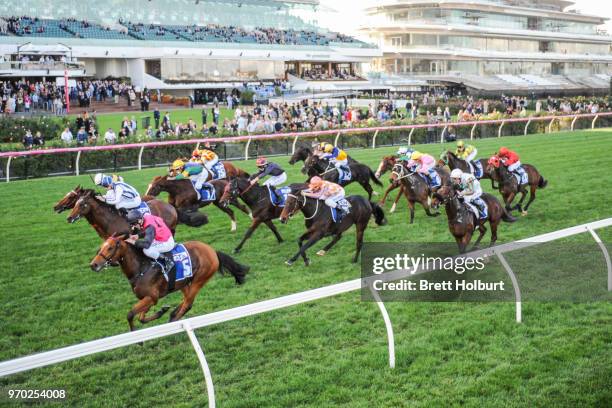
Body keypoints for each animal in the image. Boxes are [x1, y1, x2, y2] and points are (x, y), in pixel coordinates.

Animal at [89, 234, 247, 330]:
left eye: (110, 247)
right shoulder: (149, 298)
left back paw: (174, 319)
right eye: (101, 247)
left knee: (188, 303)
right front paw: (162, 311)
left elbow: (130, 314)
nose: (93, 264)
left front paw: (137, 338)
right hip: (183, 282)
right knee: (187, 301)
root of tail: (212, 250)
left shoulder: (152, 296)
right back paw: (172, 313)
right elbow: (141, 317)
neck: (141, 267)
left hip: (200, 279)